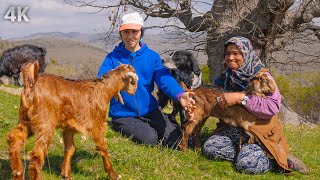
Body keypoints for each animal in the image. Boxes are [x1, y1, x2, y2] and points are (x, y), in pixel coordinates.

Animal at [6, 60, 138, 180]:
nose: (134, 91)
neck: (103, 90)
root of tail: (32, 83)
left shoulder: (69, 127)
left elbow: (70, 148)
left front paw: (66, 174)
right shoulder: (97, 124)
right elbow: (103, 146)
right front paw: (113, 174)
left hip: (26, 120)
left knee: (15, 138)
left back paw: (18, 173)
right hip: (45, 123)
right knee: (37, 155)